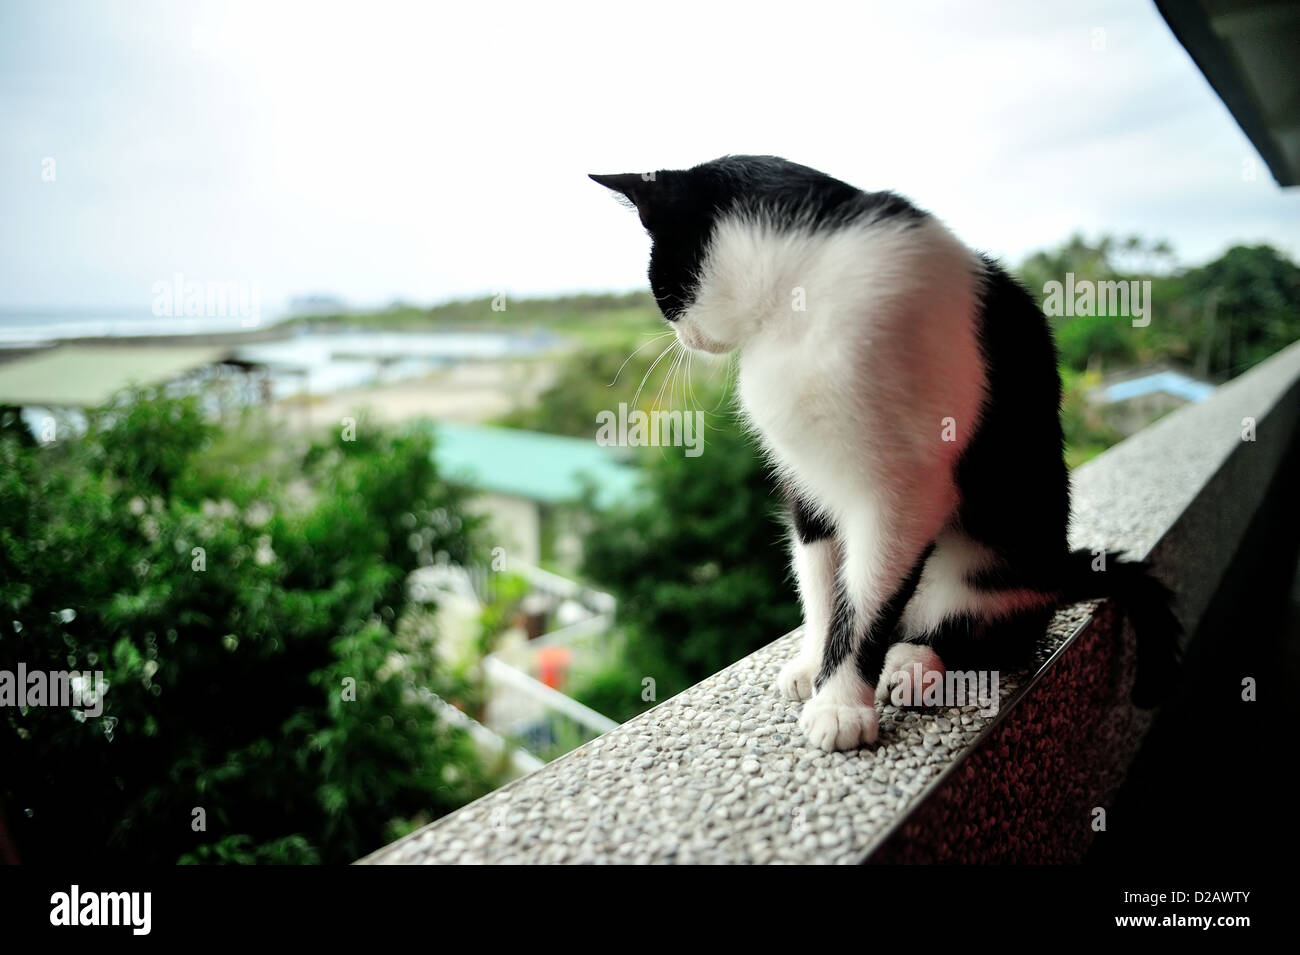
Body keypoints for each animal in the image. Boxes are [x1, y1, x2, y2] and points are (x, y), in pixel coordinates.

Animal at [595, 157, 1185, 748]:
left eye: (659, 283)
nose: (682, 336)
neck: (798, 296)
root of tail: (1055, 571)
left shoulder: (905, 491)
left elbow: (865, 602)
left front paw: (840, 703)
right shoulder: (806, 478)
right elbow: (819, 578)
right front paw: (815, 662)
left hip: (983, 566)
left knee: (984, 631)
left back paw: (913, 664)